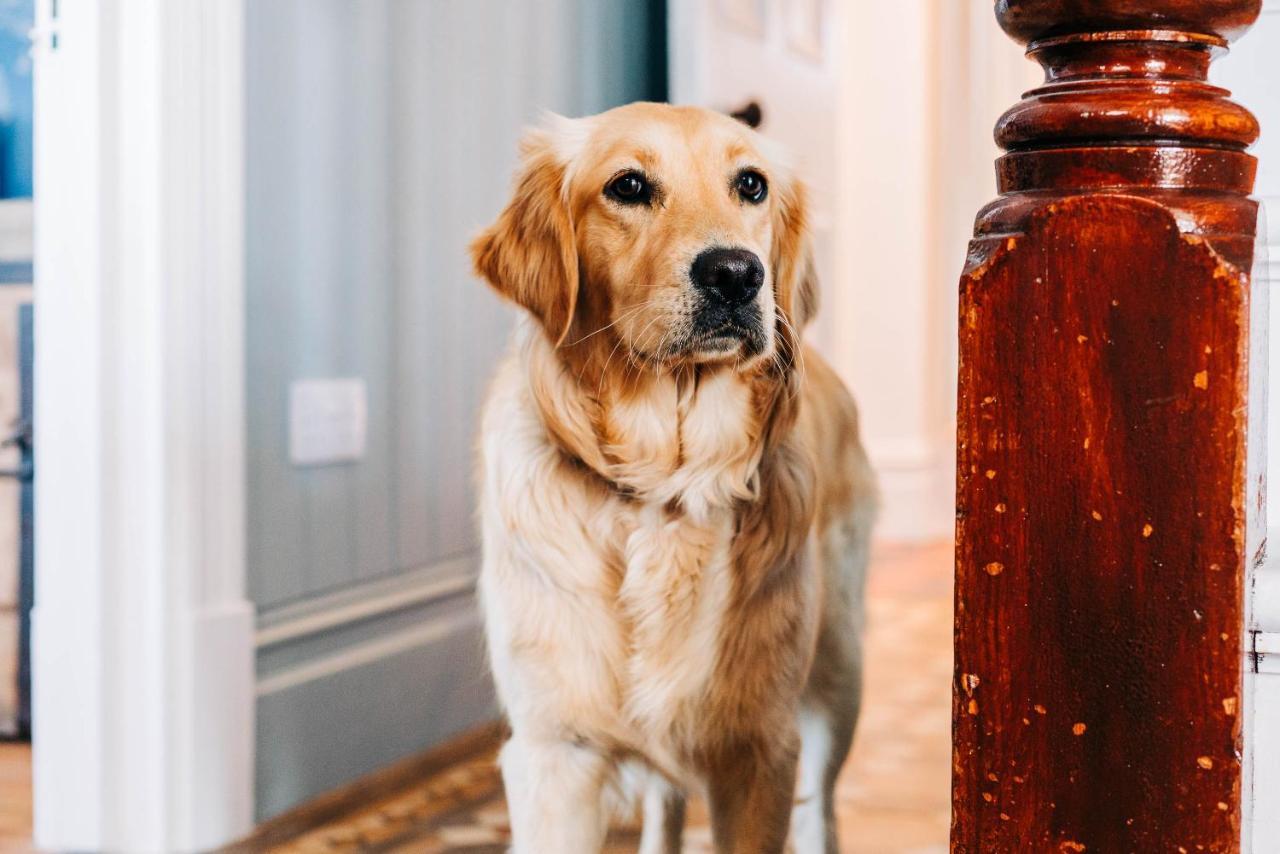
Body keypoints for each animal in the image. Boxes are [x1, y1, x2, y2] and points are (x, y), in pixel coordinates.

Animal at [471, 103, 880, 850]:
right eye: (628, 186)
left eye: (751, 184)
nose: (737, 273)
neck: (666, 483)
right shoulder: (555, 754)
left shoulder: (760, 749)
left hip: (838, 674)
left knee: (821, 808)